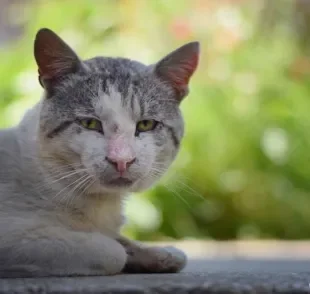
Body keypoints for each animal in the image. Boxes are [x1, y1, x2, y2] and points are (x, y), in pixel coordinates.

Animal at [0, 28, 200, 278]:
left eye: (146, 125)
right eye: (90, 123)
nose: (122, 160)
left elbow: (124, 241)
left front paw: (159, 254)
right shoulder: (14, 235)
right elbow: (112, 251)